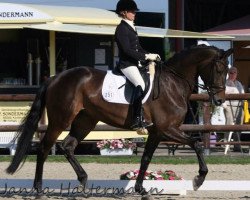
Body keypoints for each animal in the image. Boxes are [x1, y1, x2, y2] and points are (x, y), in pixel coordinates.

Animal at [6, 44, 232, 196]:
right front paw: (198, 179)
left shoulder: (157, 132)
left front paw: (140, 189)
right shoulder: (167, 129)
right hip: (60, 120)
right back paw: (38, 189)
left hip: (85, 120)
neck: (173, 82)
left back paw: (83, 182)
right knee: (44, 147)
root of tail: (55, 78)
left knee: (68, 146)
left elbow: (146, 158)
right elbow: (196, 144)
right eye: (219, 70)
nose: (219, 100)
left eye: (227, 71)